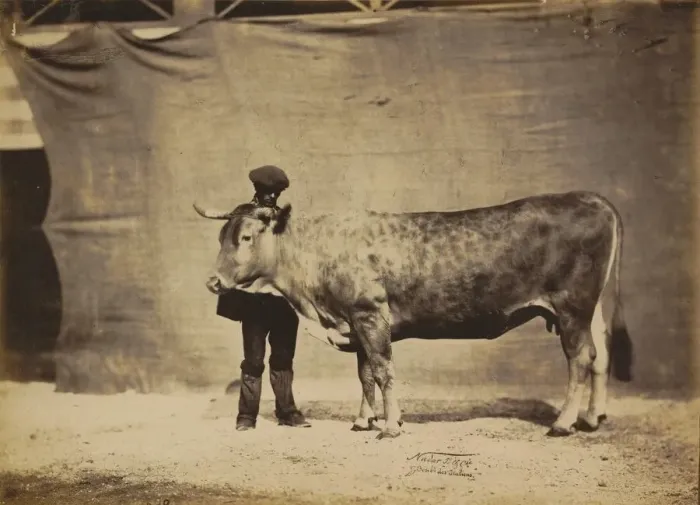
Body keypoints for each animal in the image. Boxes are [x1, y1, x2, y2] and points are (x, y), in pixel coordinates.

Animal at [194, 191, 633, 440]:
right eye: (220, 236)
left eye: (246, 237)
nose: (213, 281)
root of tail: (591, 198)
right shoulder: (356, 322)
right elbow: (365, 374)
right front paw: (364, 421)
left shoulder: (370, 314)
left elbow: (383, 371)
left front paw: (390, 426)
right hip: (590, 309)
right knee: (601, 354)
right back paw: (592, 418)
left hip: (572, 306)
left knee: (580, 359)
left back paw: (563, 423)